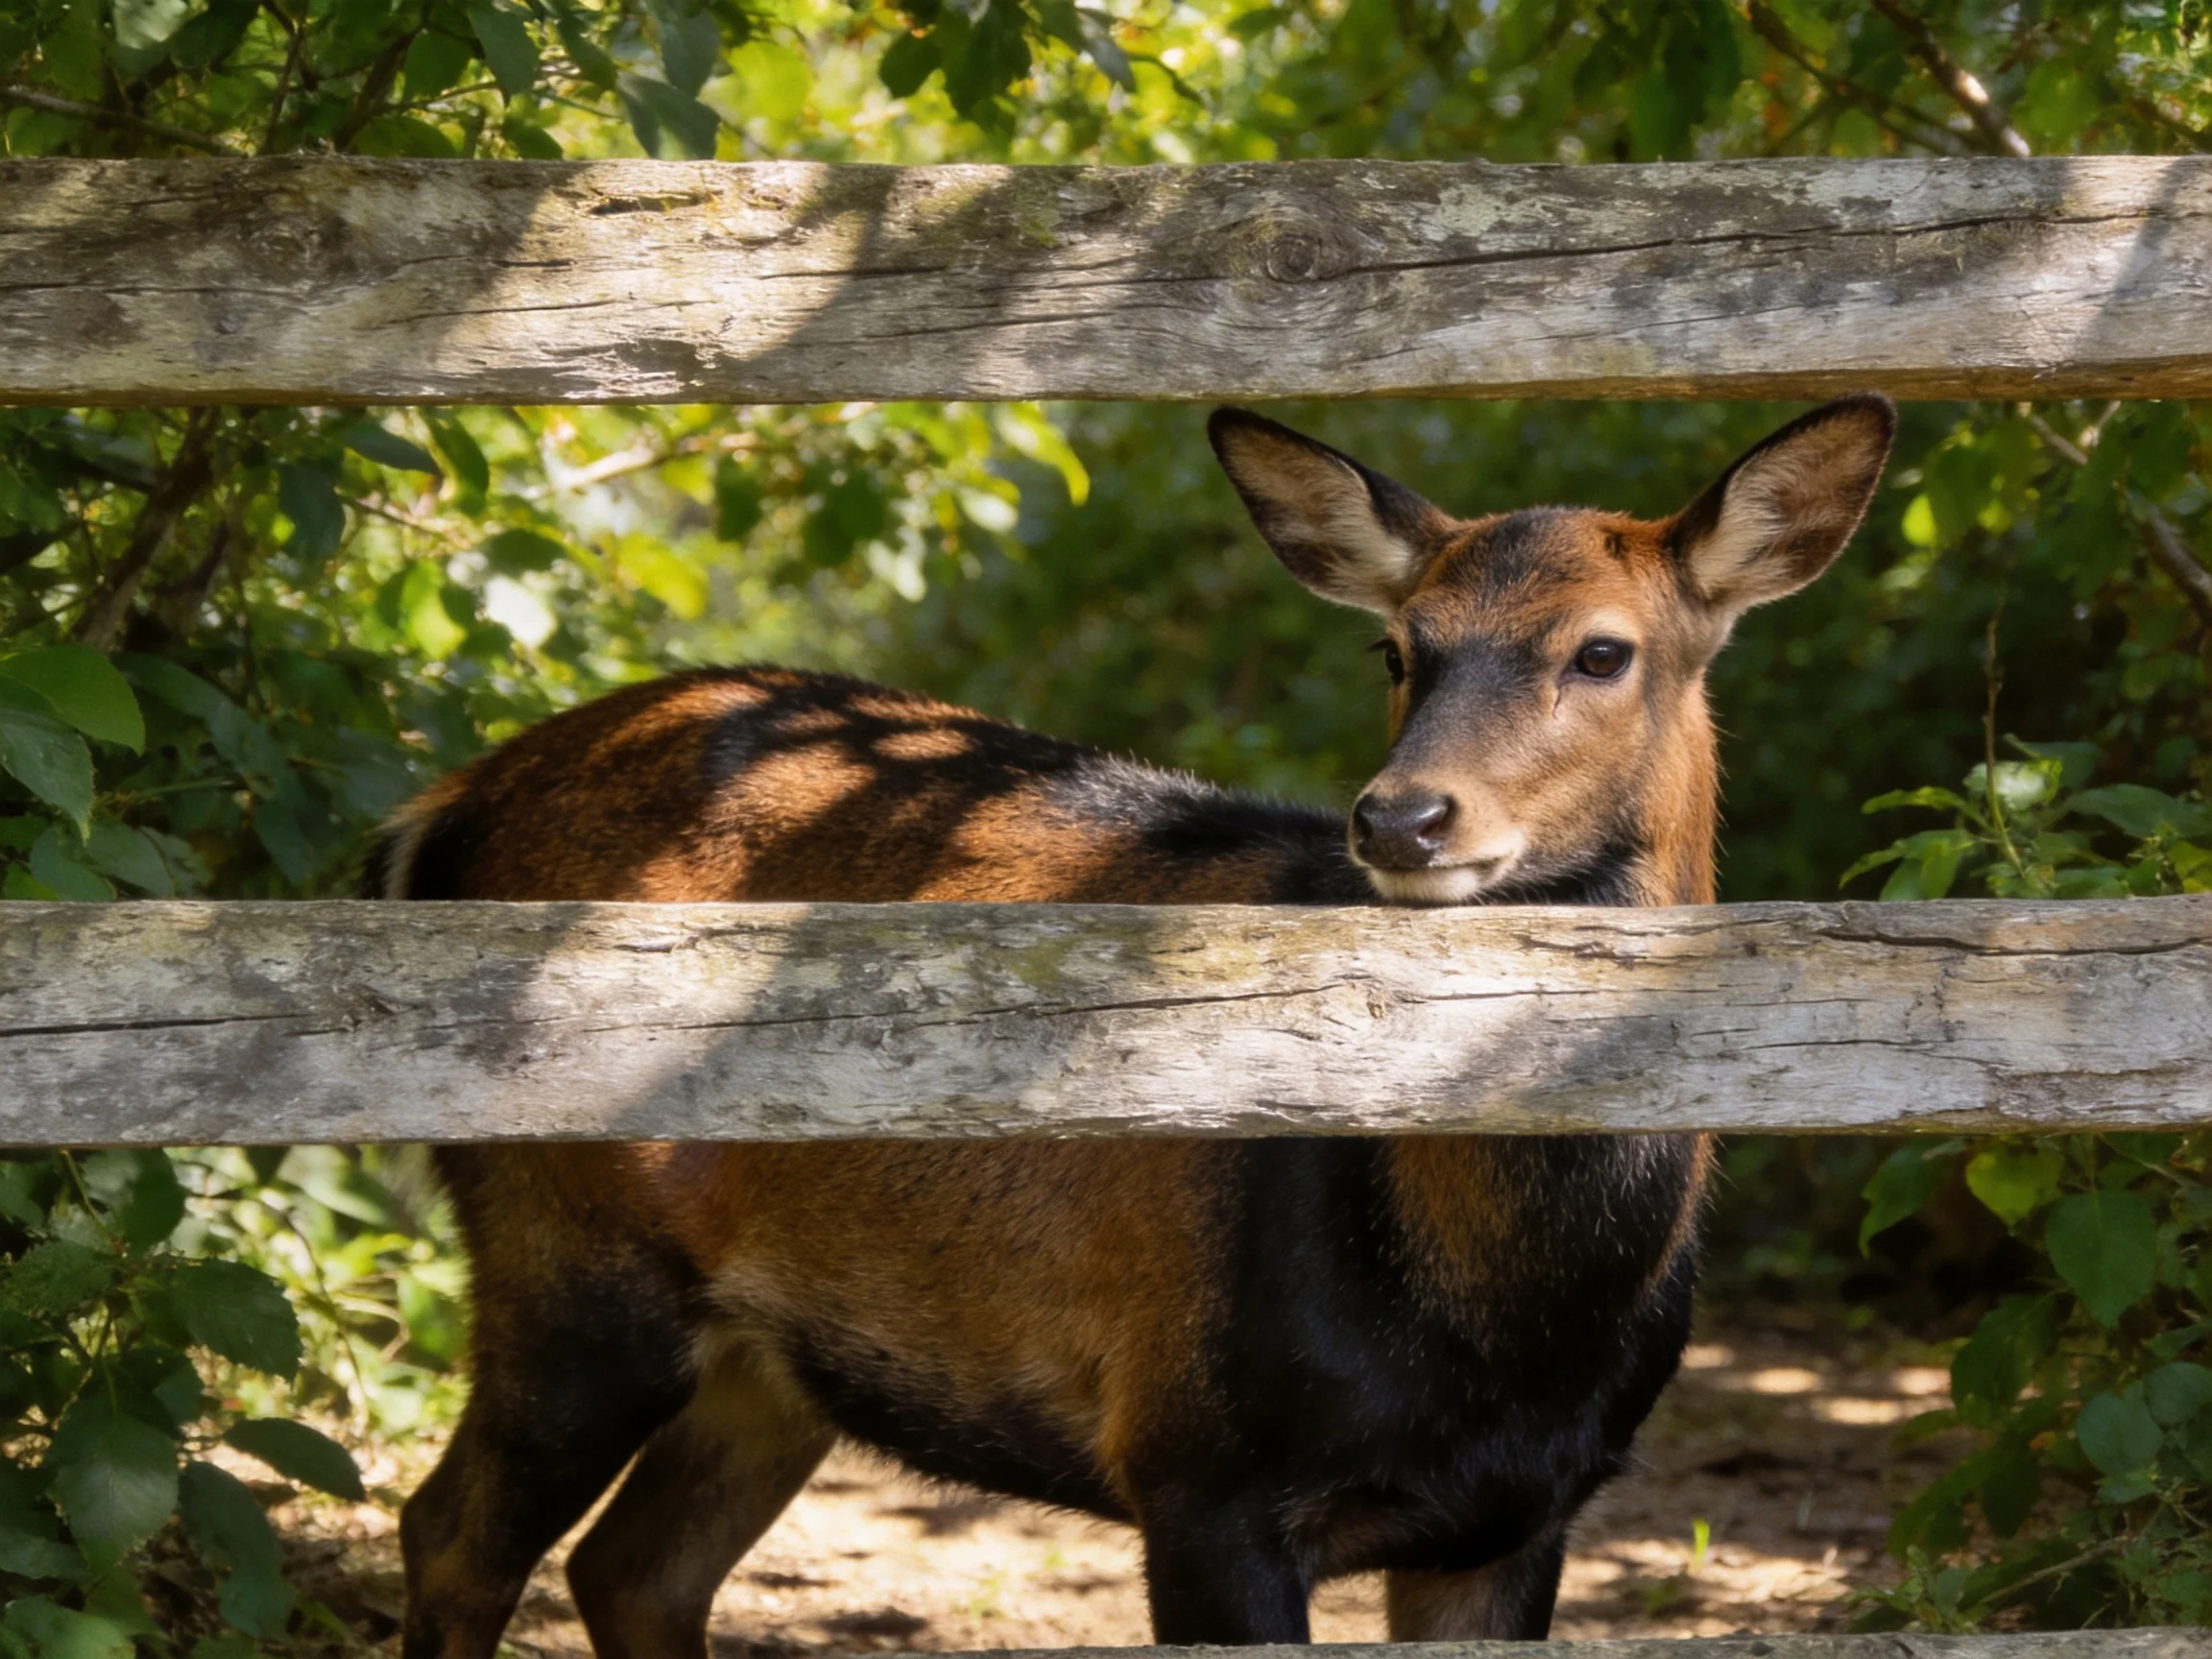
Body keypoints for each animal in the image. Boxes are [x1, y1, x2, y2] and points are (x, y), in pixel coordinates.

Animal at [375, 394, 1895, 1659]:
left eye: (1603, 651)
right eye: (1398, 647)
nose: (1401, 817)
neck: (1508, 1329)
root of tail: (441, 811)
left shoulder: (1521, 1518)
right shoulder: (1199, 1465)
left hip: (770, 1358)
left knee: (637, 1569)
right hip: (567, 1257)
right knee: (450, 1535)